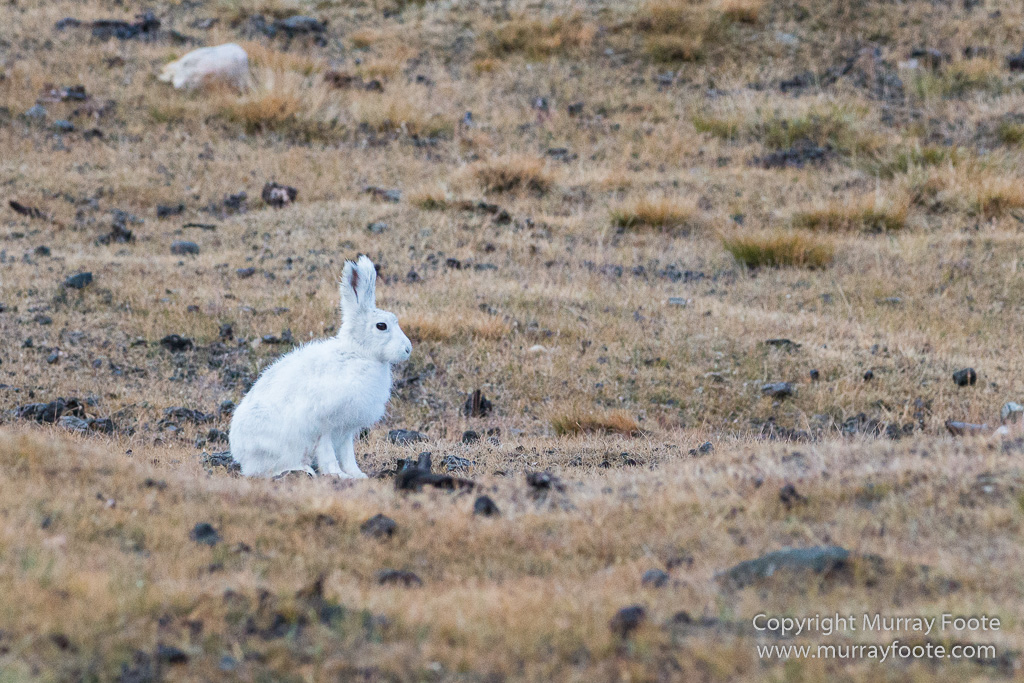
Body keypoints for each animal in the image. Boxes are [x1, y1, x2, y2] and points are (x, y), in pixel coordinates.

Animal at [229, 255, 411, 478]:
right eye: (381, 326)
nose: (407, 349)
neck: (358, 353)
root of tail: (242, 456)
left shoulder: (346, 429)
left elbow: (347, 454)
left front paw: (358, 475)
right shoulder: (323, 425)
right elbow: (328, 454)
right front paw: (339, 475)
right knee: (269, 470)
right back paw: (302, 469)